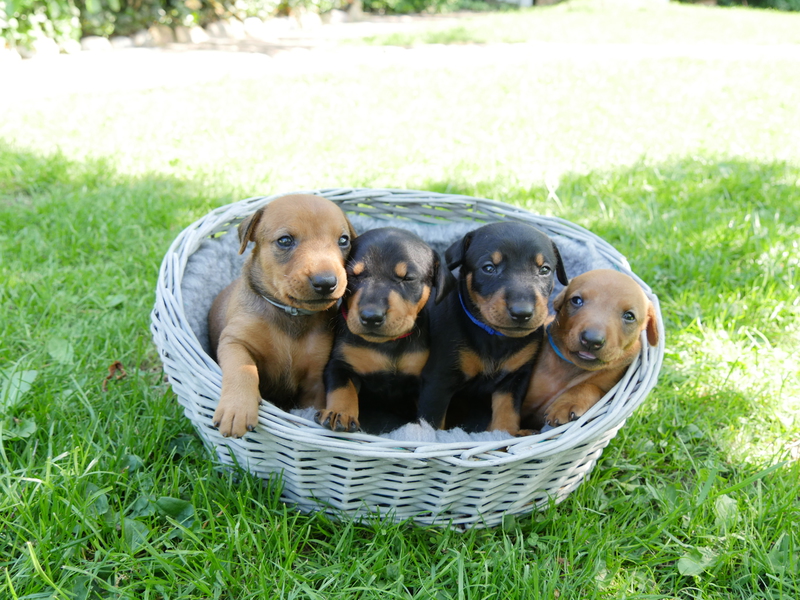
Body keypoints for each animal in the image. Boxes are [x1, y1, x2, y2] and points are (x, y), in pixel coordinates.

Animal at [208, 194, 356, 438]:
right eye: (285, 241)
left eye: (343, 240)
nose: (326, 283)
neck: (290, 315)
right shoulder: (234, 341)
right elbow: (242, 369)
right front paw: (237, 410)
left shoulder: (315, 378)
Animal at [315, 227, 456, 434]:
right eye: (353, 275)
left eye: (408, 278)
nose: (371, 317)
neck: (388, 344)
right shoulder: (339, 364)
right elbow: (342, 388)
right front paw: (339, 413)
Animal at [416, 222, 568, 436]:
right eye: (488, 268)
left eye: (545, 269)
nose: (522, 313)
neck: (495, 336)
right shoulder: (438, 380)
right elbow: (433, 423)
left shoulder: (515, 379)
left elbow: (507, 414)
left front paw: (504, 436)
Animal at [520, 269, 660, 431]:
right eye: (576, 300)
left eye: (629, 316)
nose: (592, 340)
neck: (570, 369)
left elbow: (591, 387)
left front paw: (566, 404)